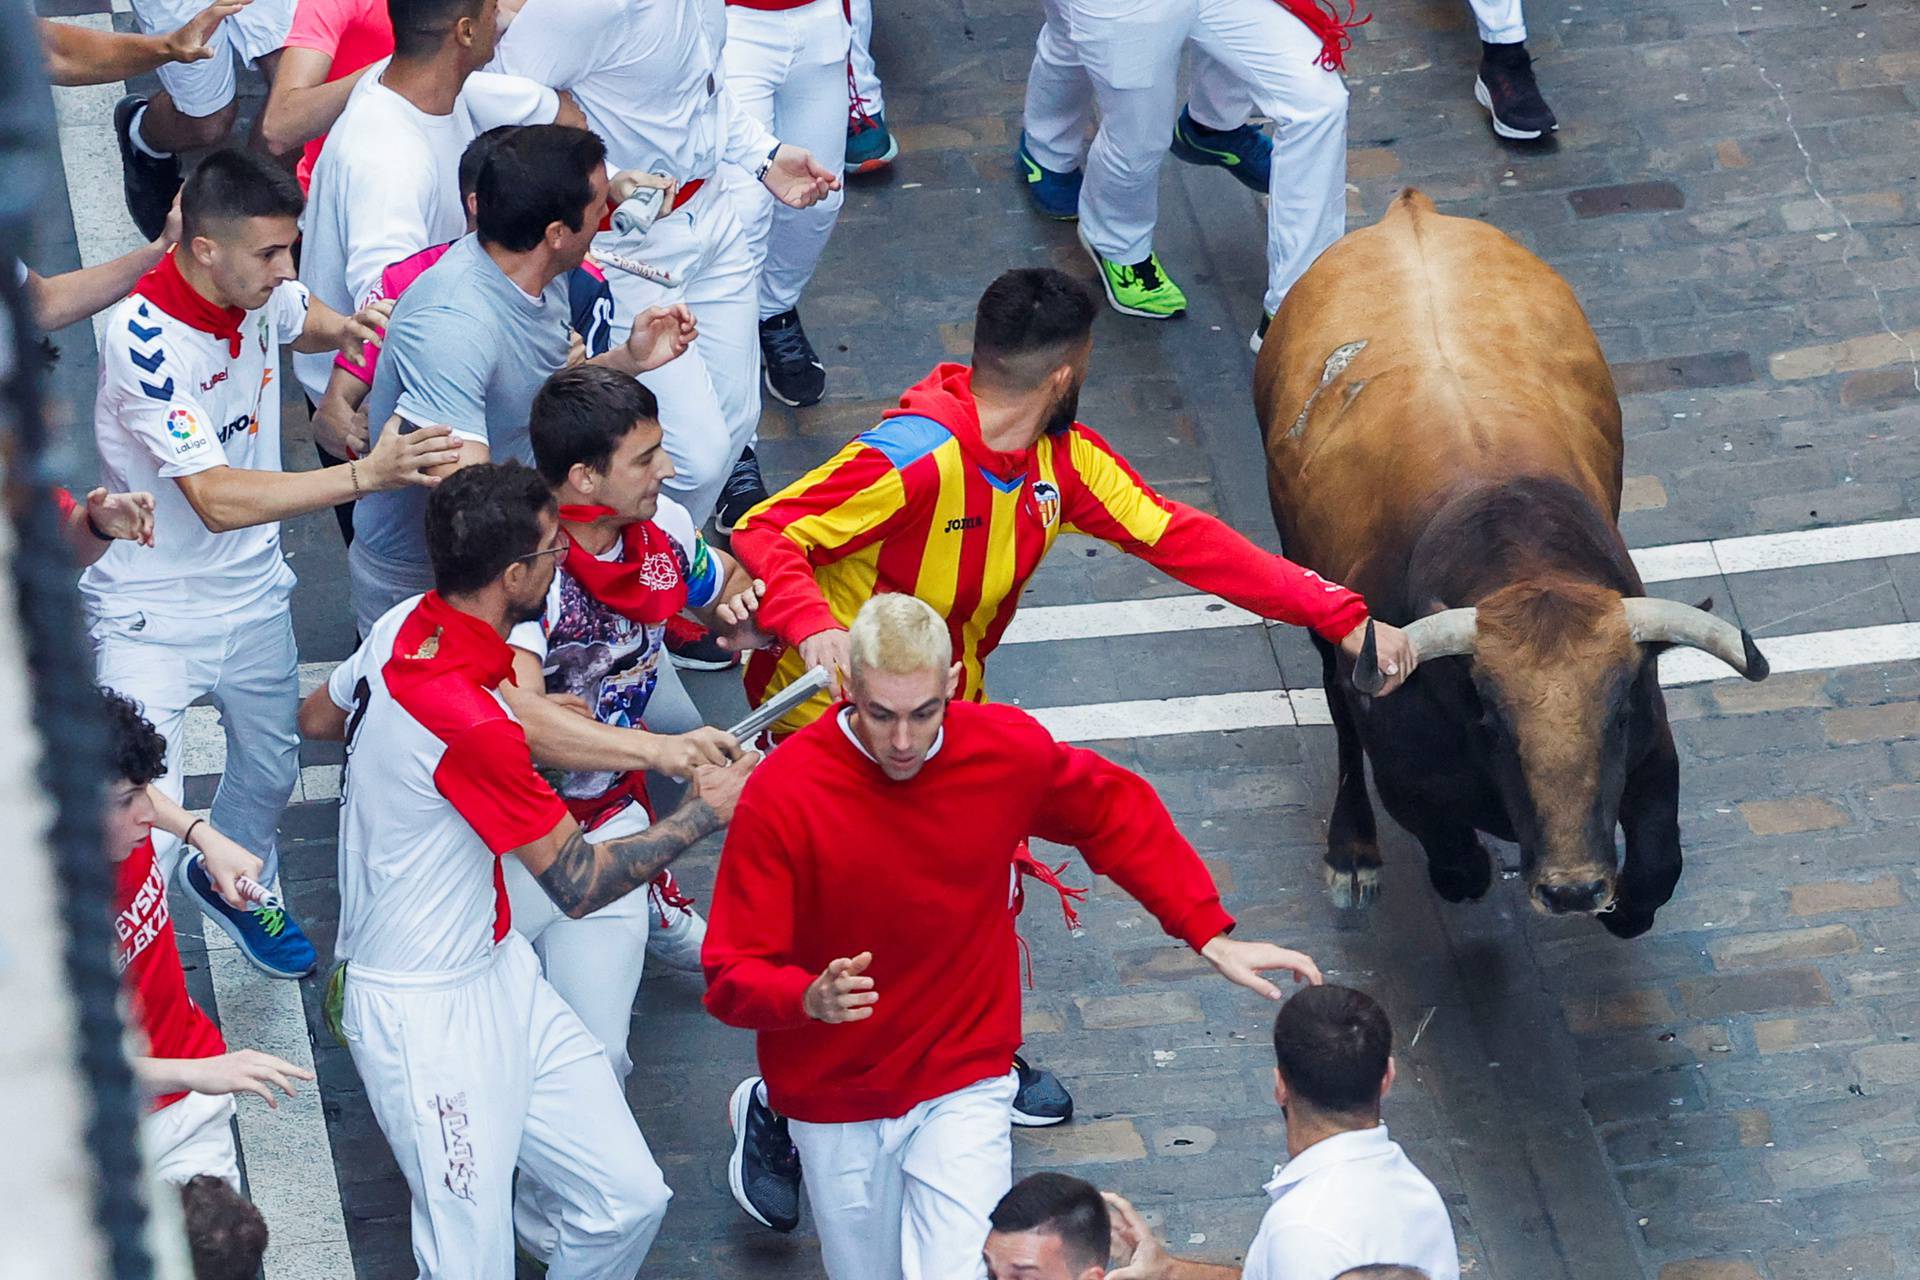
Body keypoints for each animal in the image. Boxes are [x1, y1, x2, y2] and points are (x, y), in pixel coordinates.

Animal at [1251, 185, 1758, 936]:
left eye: (1617, 717)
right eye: (1493, 723)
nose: (1573, 889)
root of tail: (1410, 212)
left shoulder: (1653, 751)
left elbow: (1657, 870)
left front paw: (1621, 906)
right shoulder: (1403, 765)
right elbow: (1454, 856)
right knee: (1338, 714)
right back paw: (1352, 852)